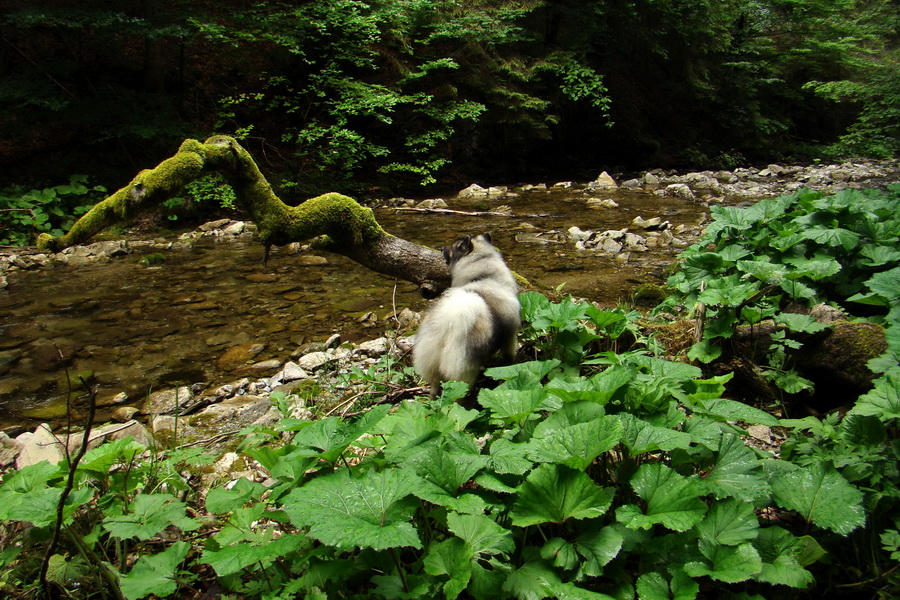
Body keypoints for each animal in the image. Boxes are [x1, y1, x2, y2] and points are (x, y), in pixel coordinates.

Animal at [414, 233, 520, 398]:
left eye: (454, 247)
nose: (442, 248)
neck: (485, 276)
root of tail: (449, 322)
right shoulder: (509, 337)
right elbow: (508, 356)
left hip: (432, 363)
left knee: (434, 388)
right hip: (464, 370)